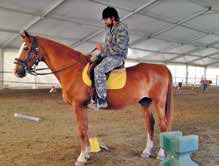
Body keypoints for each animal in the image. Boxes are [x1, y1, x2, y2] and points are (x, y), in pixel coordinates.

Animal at [14, 31, 174, 166]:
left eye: (26, 48)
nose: (17, 71)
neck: (73, 70)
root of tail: (162, 67)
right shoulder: (83, 107)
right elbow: (85, 129)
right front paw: (86, 155)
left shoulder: (78, 106)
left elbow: (81, 130)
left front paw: (81, 158)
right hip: (145, 102)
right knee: (150, 123)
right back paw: (146, 152)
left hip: (159, 102)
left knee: (163, 125)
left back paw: (161, 154)